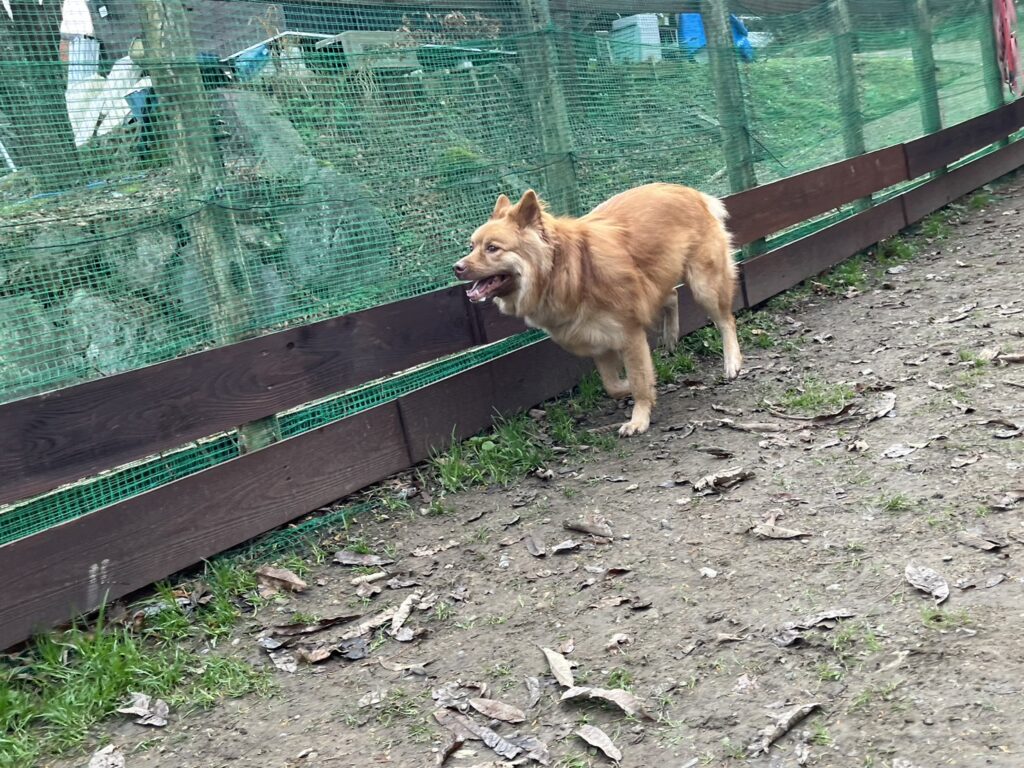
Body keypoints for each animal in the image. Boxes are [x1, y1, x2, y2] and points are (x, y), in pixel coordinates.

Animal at [454, 183, 742, 436]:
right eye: (471, 246)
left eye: (492, 248)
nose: (456, 267)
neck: (568, 269)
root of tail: (693, 193)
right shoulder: (596, 339)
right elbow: (613, 384)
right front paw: (634, 386)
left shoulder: (629, 334)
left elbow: (638, 379)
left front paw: (639, 418)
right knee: (671, 295)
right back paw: (670, 337)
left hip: (705, 285)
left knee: (726, 320)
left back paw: (732, 362)